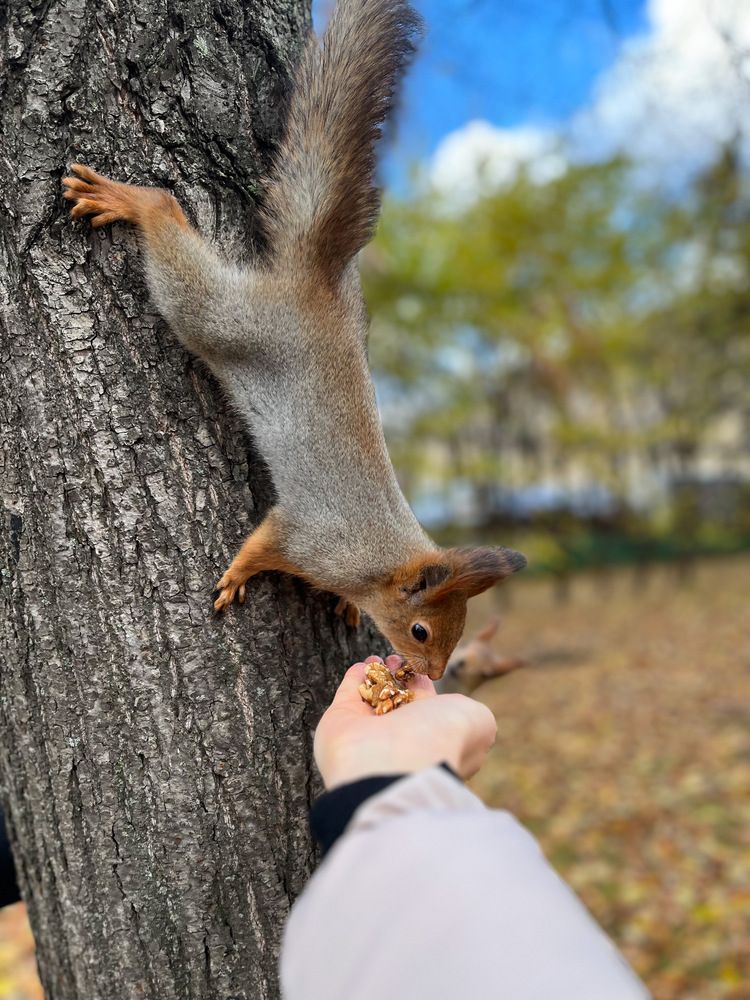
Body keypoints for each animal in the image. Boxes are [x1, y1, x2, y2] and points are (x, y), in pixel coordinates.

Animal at [62, 0, 526, 680]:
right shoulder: (308, 537)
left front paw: (348, 608)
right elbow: (265, 542)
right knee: (171, 234)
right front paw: (236, 575)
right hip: (228, 320)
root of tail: (313, 285)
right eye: (420, 629)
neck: (378, 559)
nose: (434, 675)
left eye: (460, 628)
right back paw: (133, 201)